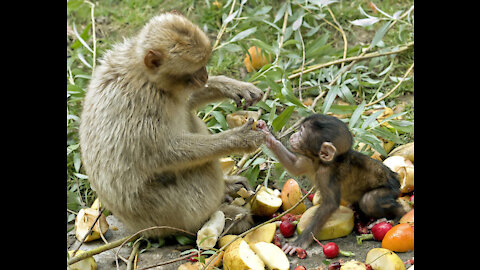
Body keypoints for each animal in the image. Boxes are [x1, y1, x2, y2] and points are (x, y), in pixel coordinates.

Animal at [79, 12, 266, 238]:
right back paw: (219, 217)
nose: (204, 76)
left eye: (205, 66)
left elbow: (186, 101)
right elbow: (163, 153)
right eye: (194, 70)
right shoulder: (142, 102)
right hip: (165, 213)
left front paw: (232, 86)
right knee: (202, 167)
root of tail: (136, 227)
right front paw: (239, 138)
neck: (145, 76)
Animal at [256, 114, 404, 255]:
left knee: (369, 200)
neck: (323, 162)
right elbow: (294, 167)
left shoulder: (326, 175)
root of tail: (396, 179)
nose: (293, 135)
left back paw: (396, 215)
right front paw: (267, 134)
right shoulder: (310, 161)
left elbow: (330, 205)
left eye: (302, 132)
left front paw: (299, 242)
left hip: (390, 190)